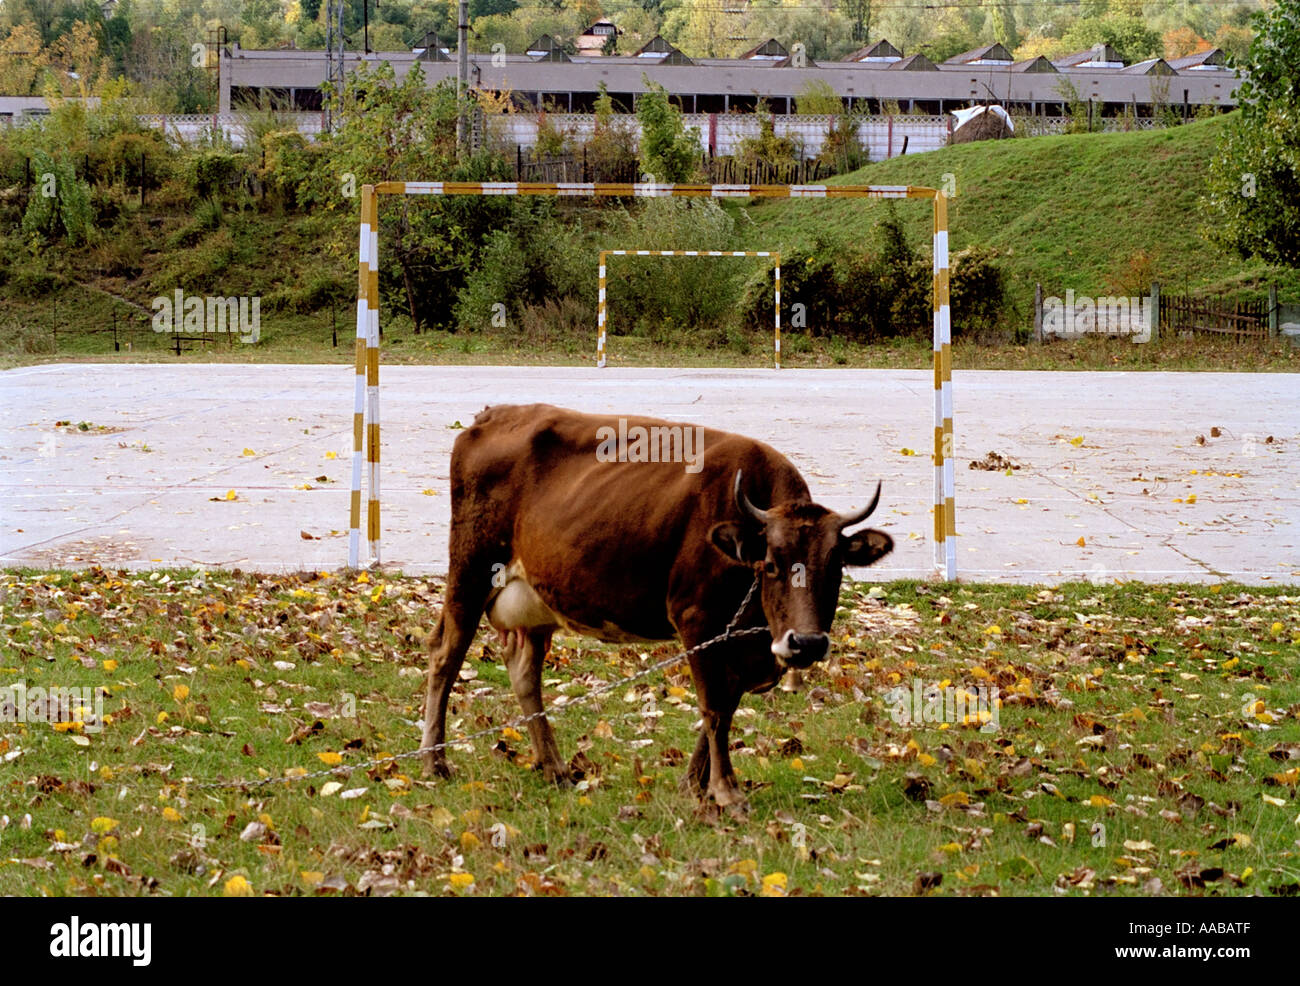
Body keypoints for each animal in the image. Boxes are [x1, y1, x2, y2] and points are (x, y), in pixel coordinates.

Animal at [421, 403, 889, 811]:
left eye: (836, 568)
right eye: (770, 564)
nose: (806, 643)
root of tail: (491, 416)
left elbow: (726, 704)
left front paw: (694, 784)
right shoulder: (696, 618)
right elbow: (714, 707)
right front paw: (726, 791)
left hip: (535, 600)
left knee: (523, 672)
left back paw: (555, 768)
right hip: (470, 569)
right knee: (446, 654)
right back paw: (434, 760)